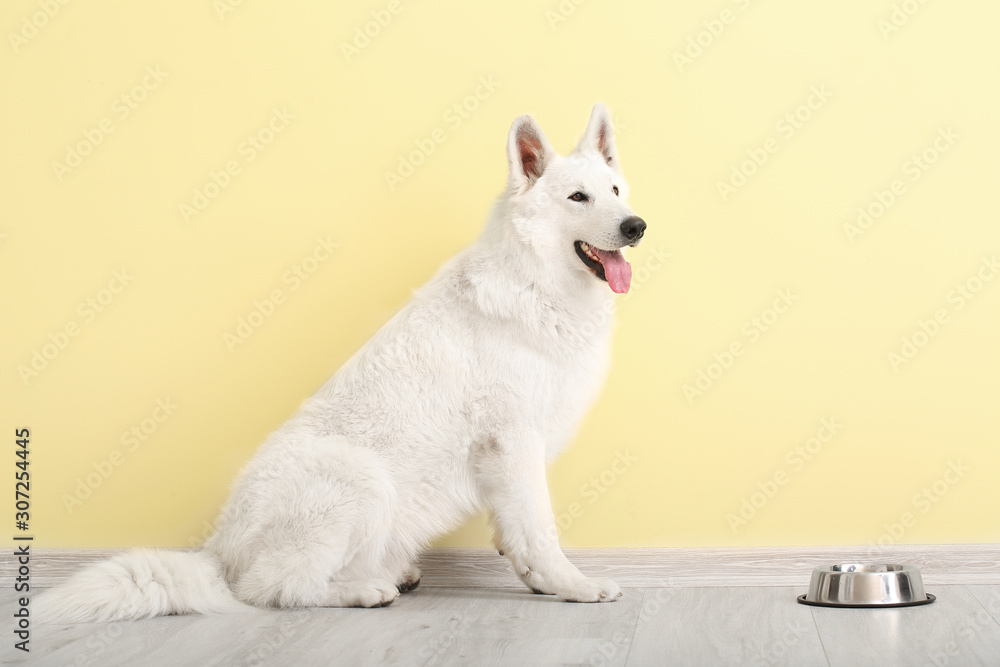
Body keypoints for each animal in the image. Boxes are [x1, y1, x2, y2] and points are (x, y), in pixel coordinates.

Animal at [37, 102, 648, 624]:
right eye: (577, 198)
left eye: (615, 190)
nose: (635, 226)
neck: (534, 284)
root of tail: (219, 552)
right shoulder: (513, 442)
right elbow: (540, 529)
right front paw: (571, 584)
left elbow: (516, 533)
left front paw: (537, 580)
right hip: (361, 478)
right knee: (271, 589)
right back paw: (363, 591)